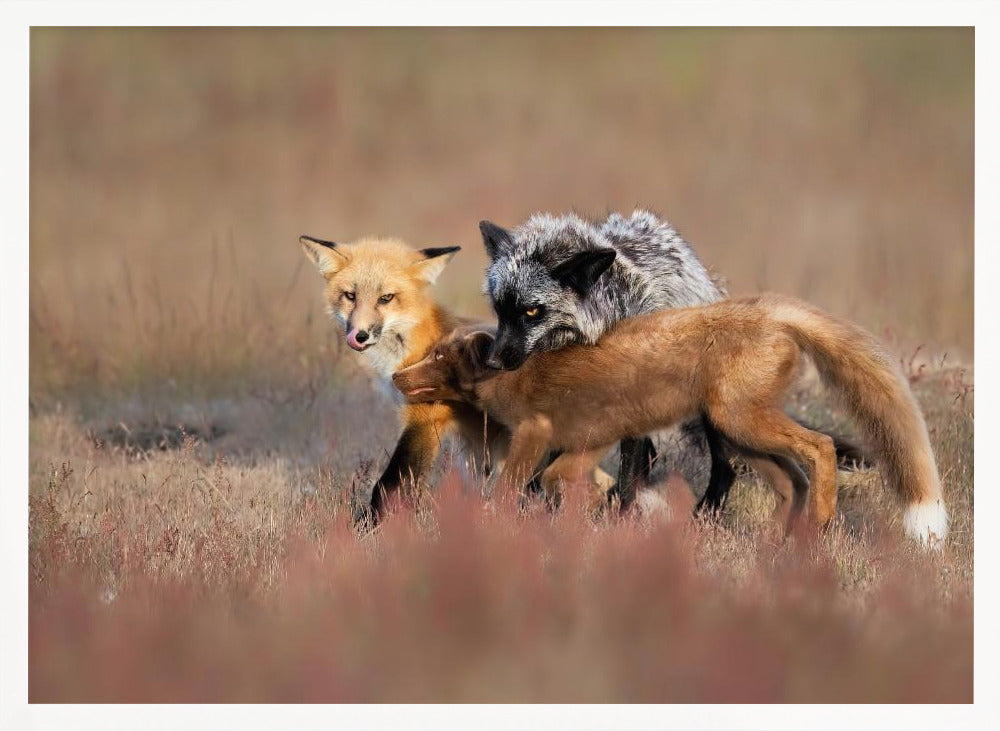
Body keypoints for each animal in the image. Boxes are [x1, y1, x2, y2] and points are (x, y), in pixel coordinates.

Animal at [392, 294, 948, 548]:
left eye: (439, 358)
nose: (397, 376)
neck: (511, 375)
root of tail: (771, 309)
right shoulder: (590, 440)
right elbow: (561, 480)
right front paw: (591, 513)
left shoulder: (539, 431)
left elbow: (516, 484)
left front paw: (499, 524)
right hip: (737, 435)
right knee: (792, 480)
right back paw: (777, 542)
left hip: (742, 422)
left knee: (820, 448)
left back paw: (821, 523)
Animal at [478, 210, 864, 511]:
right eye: (500, 309)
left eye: (532, 311)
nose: (492, 363)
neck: (608, 320)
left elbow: (629, 473)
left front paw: (618, 519)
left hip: (717, 412)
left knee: (723, 467)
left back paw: (705, 515)